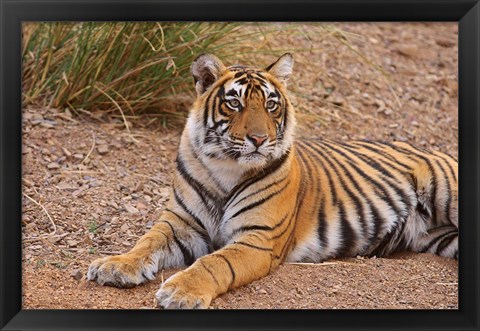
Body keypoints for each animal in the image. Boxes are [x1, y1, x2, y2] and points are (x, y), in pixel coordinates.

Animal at [86, 53, 458, 310]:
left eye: (271, 104)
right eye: (234, 103)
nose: (259, 139)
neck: (225, 168)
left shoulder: (257, 239)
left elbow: (214, 263)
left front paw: (181, 291)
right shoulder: (180, 223)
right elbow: (146, 243)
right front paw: (115, 266)